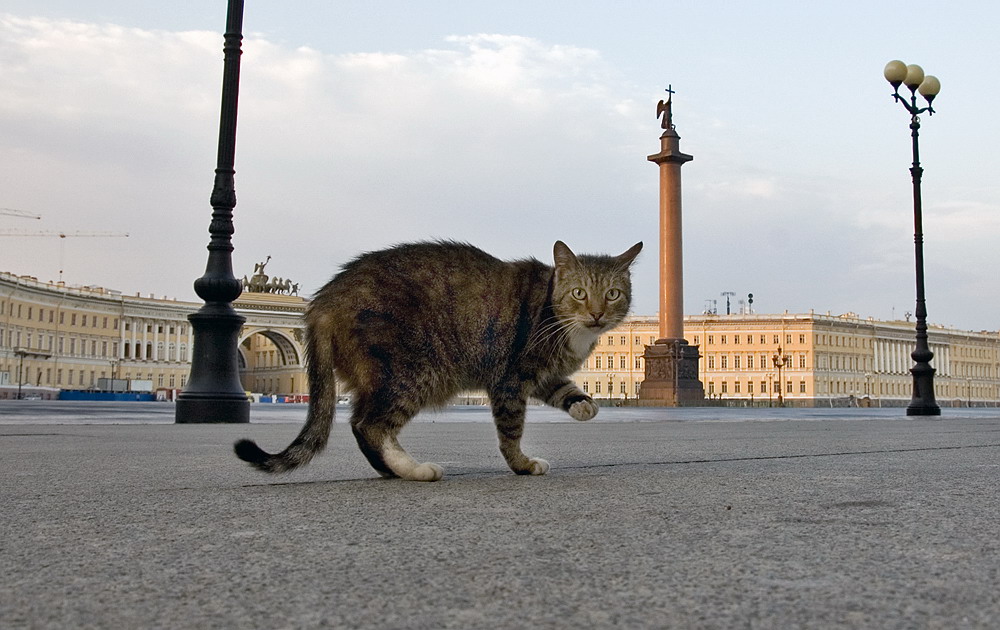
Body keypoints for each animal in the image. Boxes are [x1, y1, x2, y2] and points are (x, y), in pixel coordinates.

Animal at [233, 239, 640, 482]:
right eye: (579, 293)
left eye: (613, 294)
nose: (597, 315)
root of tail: (323, 300)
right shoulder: (510, 378)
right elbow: (511, 432)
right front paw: (522, 465)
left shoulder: (541, 375)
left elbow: (565, 391)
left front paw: (585, 405)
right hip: (414, 373)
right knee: (370, 424)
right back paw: (415, 470)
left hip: (381, 377)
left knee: (363, 424)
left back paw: (395, 469)